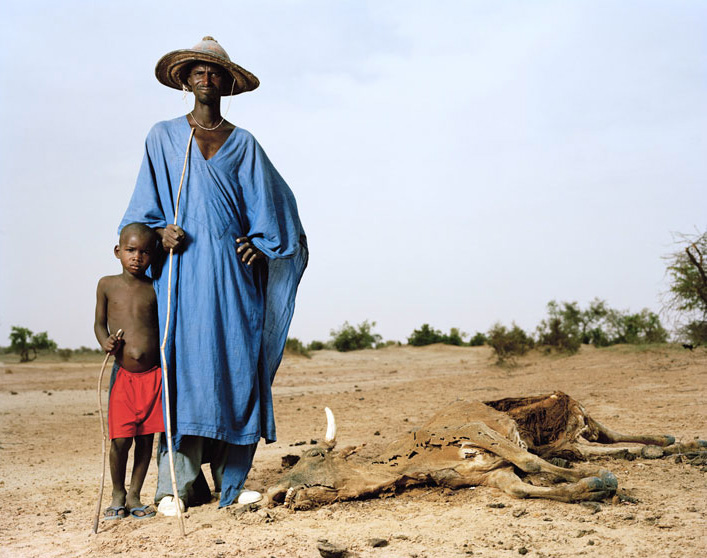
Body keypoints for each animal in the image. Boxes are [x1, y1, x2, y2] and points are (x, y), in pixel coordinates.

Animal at [268, 394, 704, 512]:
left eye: (313, 457)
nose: (273, 494)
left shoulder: (475, 430)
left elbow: (527, 461)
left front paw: (606, 484)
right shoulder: (486, 474)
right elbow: (520, 486)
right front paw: (591, 488)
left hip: (575, 412)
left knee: (606, 433)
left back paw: (677, 443)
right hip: (567, 435)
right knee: (592, 448)